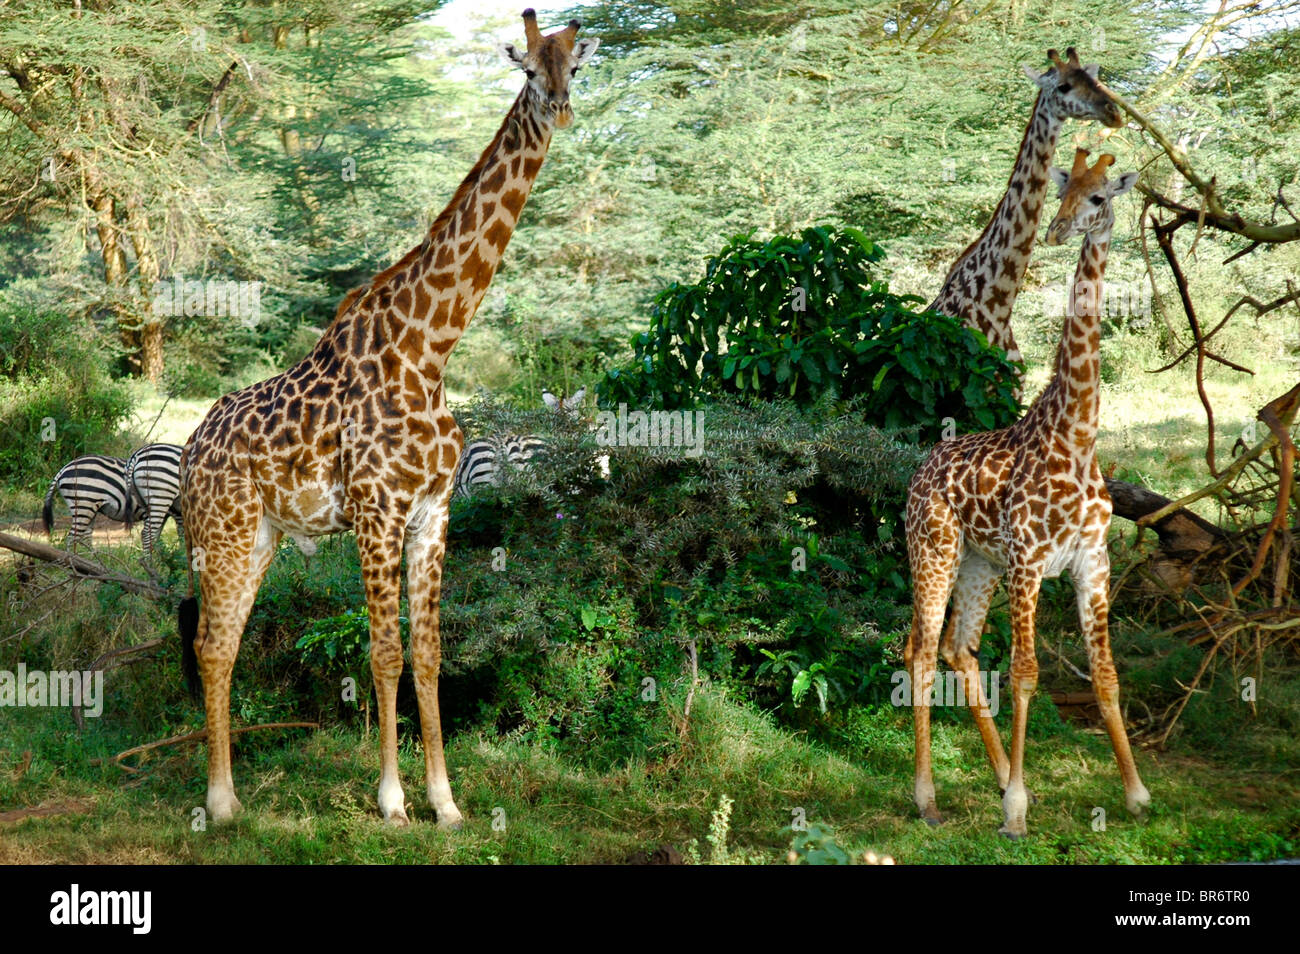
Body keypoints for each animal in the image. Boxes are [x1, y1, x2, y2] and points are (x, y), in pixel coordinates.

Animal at [175, 9, 600, 831]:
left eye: (575, 66)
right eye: (528, 69)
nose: (560, 109)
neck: (430, 349)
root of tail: (186, 451)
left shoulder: (433, 512)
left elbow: (430, 652)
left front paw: (448, 803)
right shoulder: (378, 511)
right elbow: (385, 653)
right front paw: (394, 802)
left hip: (262, 536)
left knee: (227, 643)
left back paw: (231, 794)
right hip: (224, 531)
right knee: (211, 644)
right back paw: (220, 801)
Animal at [904, 147, 1149, 837]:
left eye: (1099, 197)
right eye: (1065, 190)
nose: (1060, 229)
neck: (1078, 437)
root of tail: (918, 469)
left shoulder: (1093, 563)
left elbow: (1106, 676)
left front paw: (1136, 794)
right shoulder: (1030, 563)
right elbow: (1025, 673)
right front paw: (1013, 811)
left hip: (978, 565)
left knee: (957, 647)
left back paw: (996, 777)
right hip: (934, 553)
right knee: (921, 651)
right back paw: (929, 798)